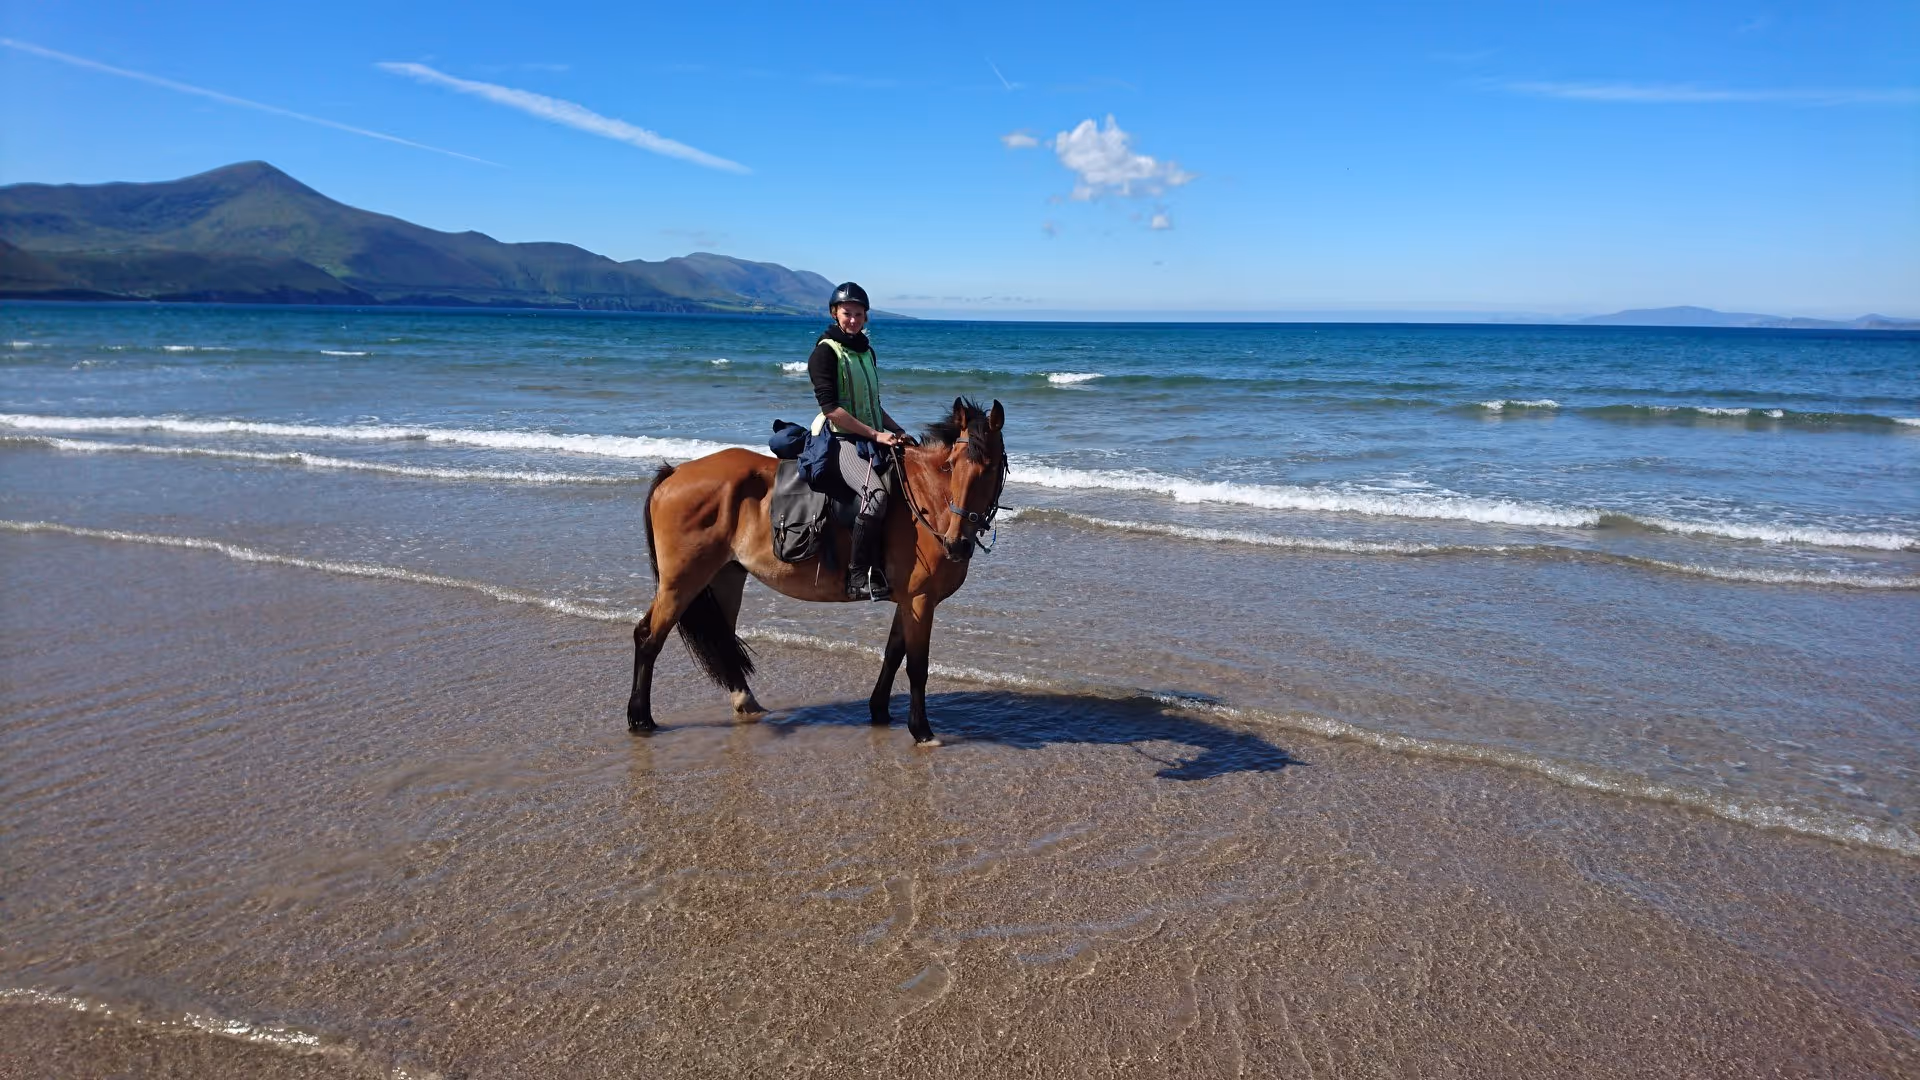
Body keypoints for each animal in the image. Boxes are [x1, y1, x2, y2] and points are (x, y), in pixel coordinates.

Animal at [628, 397, 1008, 745]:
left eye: (989, 469)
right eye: (951, 466)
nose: (957, 544)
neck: (926, 501)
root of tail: (675, 473)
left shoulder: (907, 600)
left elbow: (892, 653)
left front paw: (880, 710)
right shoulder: (920, 599)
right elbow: (916, 666)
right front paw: (922, 730)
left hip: (726, 577)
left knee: (721, 639)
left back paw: (745, 702)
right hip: (681, 581)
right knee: (648, 637)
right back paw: (640, 718)